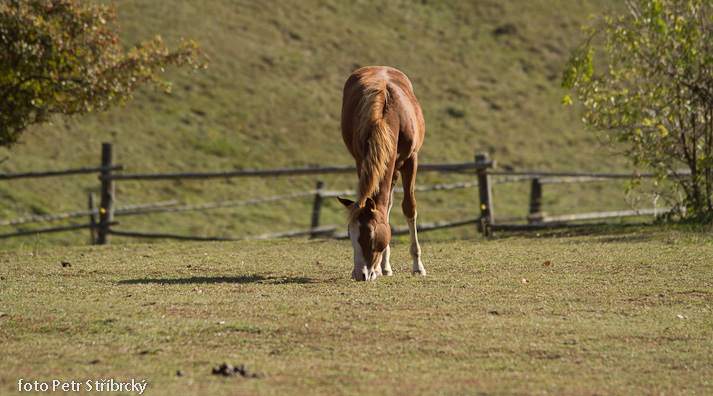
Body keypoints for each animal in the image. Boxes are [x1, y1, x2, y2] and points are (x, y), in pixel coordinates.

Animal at [338, 65, 426, 282]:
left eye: (370, 235)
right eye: (349, 234)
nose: (360, 274)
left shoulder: (411, 160)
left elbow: (409, 208)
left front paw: (417, 266)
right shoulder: (362, 161)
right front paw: (378, 268)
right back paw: (383, 267)